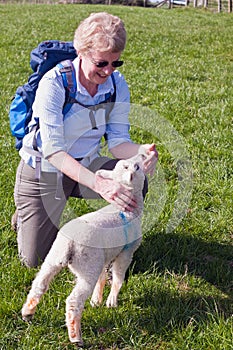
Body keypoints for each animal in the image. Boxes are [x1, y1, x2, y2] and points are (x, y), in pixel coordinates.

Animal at [21, 154, 146, 348]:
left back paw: (28, 312)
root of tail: (69, 244)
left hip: (56, 257)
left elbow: (102, 277)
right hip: (87, 266)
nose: (141, 155)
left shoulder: (103, 256)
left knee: (39, 285)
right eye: (136, 167)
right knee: (73, 301)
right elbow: (118, 277)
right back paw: (76, 337)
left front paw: (96, 300)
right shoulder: (127, 251)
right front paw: (112, 301)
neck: (126, 210)